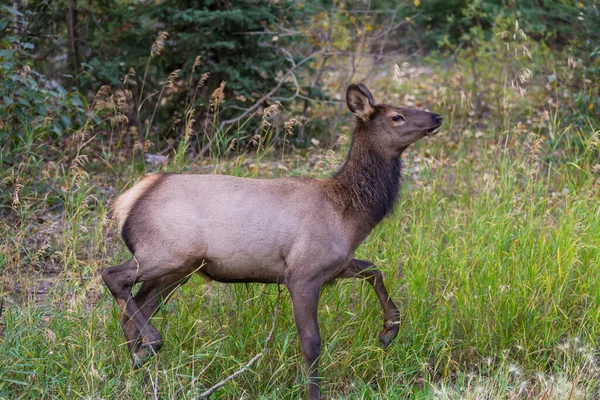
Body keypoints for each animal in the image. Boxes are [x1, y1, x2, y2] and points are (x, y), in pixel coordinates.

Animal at [102, 83, 440, 398]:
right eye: (397, 116)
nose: (436, 117)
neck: (349, 215)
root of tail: (126, 201)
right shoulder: (303, 273)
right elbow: (311, 342)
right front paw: (314, 392)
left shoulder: (335, 265)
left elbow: (373, 269)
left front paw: (389, 330)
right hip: (165, 252)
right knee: (113, 276)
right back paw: (150, 346)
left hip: (179, 269)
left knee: (133, 311)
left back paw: (138, 369)